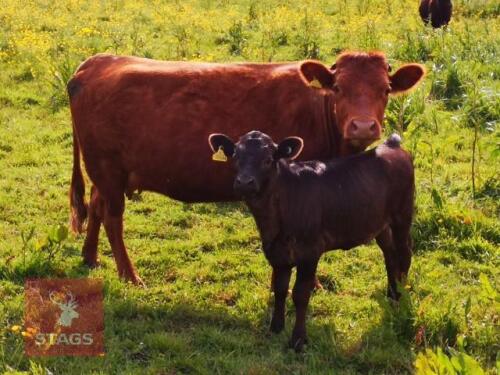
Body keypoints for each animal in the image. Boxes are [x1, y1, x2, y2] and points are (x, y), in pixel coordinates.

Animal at [67, 52, 426, 284]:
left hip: (107, 173)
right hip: (107, 169)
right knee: (113, 218)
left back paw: (90, 257)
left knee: (96, 207)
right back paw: (129, 275)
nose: (363, 126)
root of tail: (97, 62)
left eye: (385, 89)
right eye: (338, 88)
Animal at [207, 131, 414, 352]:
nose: (244, 182)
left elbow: (300, 294)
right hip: (379, 224)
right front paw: (276, 328)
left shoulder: (310, 251)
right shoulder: (277, 252)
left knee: (404, 254)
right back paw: (392, 294)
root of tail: (390, 144)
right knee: (390, 254)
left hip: (402, 215)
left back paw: (402, 297)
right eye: (236, 156)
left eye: (268, 159)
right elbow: (280, 289)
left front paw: (298, 340)